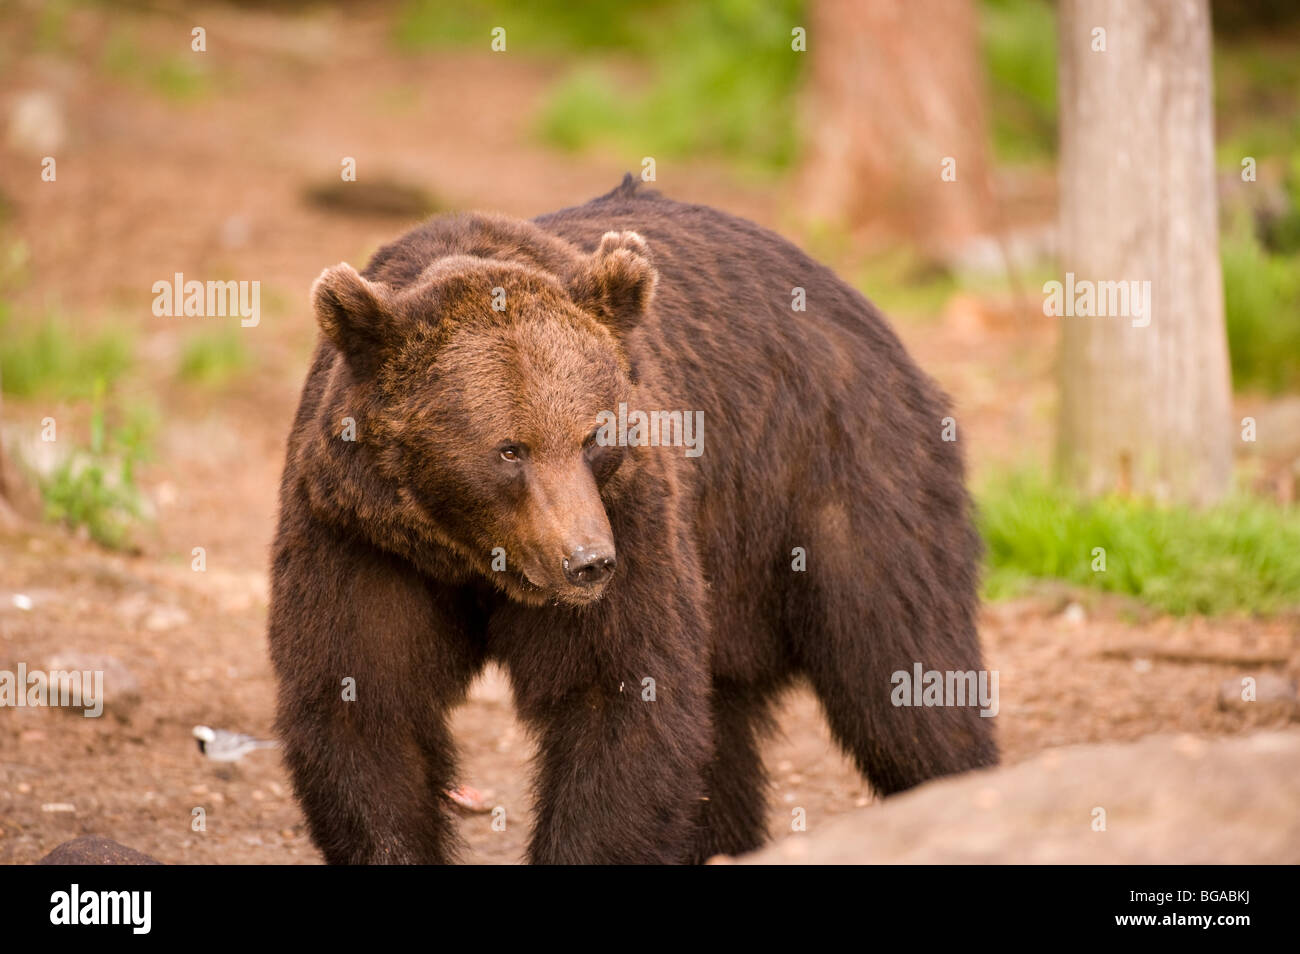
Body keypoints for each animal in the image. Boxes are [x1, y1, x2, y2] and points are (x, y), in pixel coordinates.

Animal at [269, 174, 998, 868]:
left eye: (594, 435)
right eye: (510, 449)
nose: (587, 561)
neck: (473, 558)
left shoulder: (634, 512)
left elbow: (620, 704)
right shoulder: (360, 534)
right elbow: (363, 706)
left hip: (839, 473)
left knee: (903, 669)